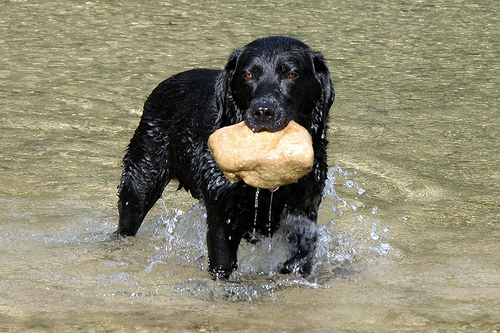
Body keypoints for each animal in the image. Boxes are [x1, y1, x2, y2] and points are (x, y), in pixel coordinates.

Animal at [116, 35, 334, 278]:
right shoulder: (223, 216)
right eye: (248, 75)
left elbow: (302, 255)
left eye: (291, 74)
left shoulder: (304, 210)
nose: (263, 111)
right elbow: (222, 262)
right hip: (140, 181)